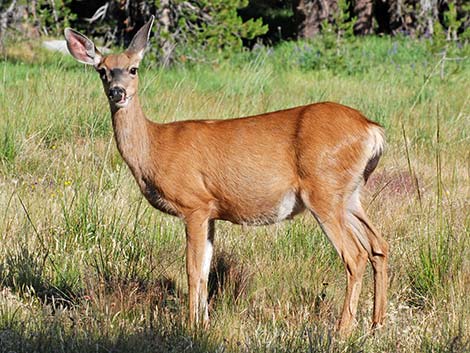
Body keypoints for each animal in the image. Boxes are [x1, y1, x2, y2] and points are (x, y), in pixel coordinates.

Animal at [66, 16, 390, 334]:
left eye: (133, 69)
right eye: (102, 71)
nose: (117, 92)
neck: (155, 147)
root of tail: (371, 129)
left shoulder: (194, 204)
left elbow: (192, 270)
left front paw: (191, 327)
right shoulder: (211, 211)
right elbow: (205, 270)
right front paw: (205, 324)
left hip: (324, 190)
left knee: (355, 255)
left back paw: (342, 331)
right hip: (350, 194)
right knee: (378, 245)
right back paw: (377, 323)